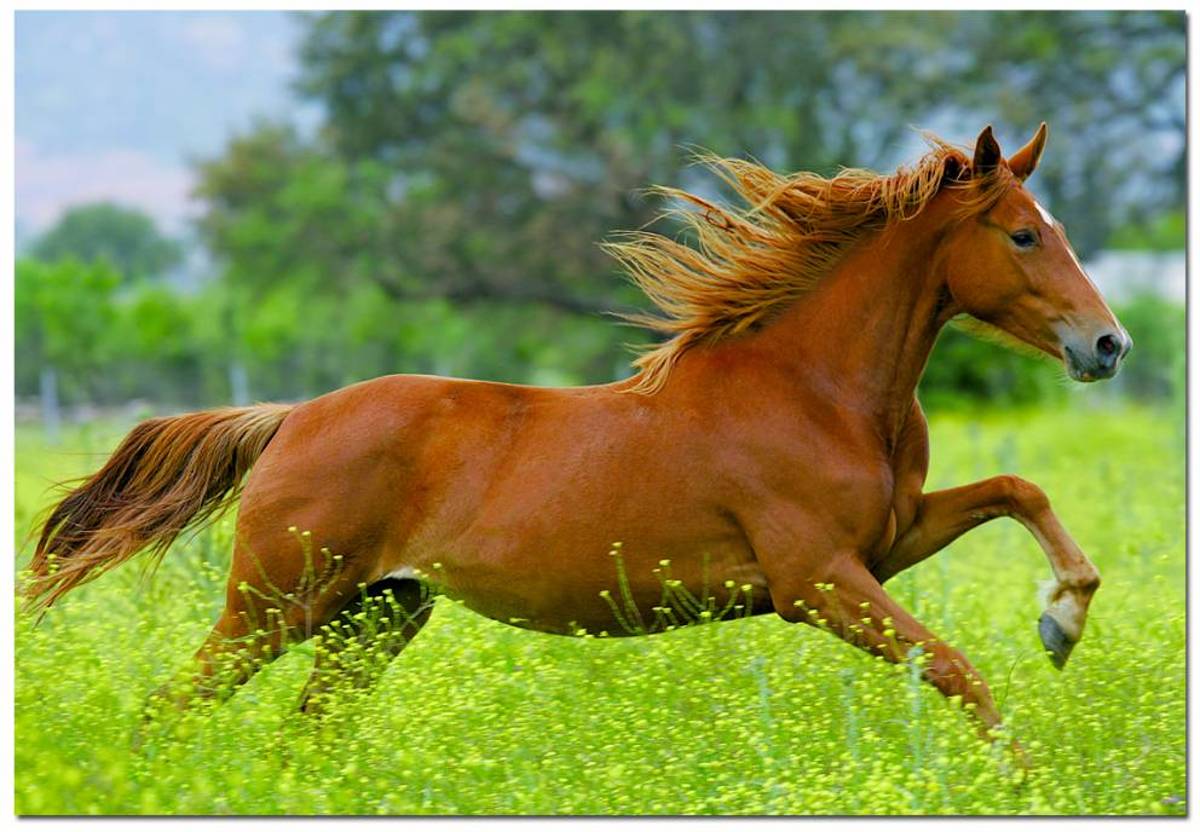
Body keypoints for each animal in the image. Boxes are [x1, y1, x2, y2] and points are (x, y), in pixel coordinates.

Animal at [25, 124, 1132, 758]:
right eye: (1024, 233)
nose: (1108, 343)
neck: (814, 389)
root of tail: (291, 417)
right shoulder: (818, 579)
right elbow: (958, 671)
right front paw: (1022, 772)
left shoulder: (886, 543)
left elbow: (1016, 488)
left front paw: (1063, 618)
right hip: (274, 606)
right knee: (170, 708)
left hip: (375, 615)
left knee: (306, 737)